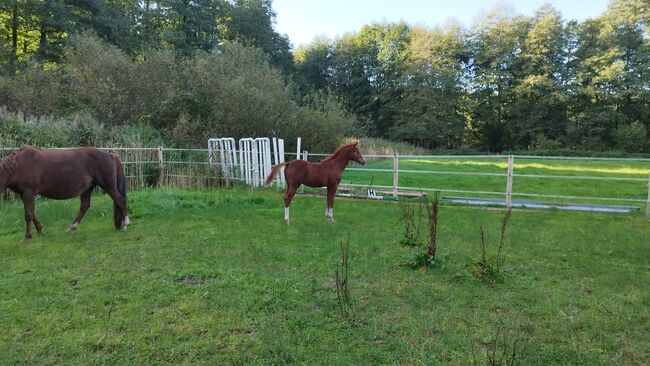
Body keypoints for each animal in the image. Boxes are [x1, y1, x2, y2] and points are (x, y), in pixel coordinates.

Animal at [0, 146, 129, 240]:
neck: (17, 166)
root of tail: (111, 155)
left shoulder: (28, 193)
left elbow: (28, 215)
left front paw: (27, 237)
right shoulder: (25, 195)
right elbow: (32, 213)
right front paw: (40, 230)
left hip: (108, 186)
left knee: (120, 201)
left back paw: (125, 224)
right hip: (88, 188)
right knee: (85, 206)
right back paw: (72, 228)